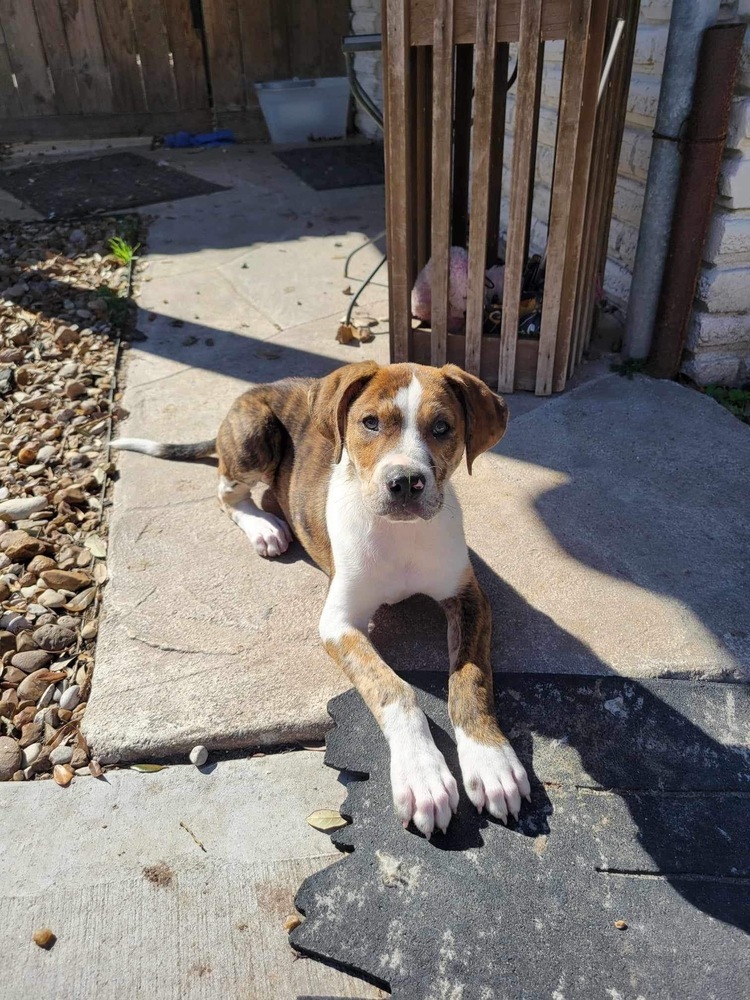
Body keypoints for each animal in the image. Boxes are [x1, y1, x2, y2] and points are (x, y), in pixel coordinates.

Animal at [114, 364, 532, 840]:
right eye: (370, 422)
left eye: (443, 427)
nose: (405, 483)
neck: (400, 536)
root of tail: (266, 387)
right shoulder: (339, 623)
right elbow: (395, 691)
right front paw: (422, 776)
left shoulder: (468, 597)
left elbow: (471, 679)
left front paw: (491, 761)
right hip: (253, 436)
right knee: (226, 493)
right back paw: (265, 528)